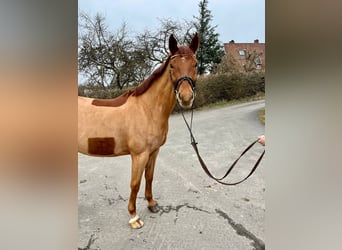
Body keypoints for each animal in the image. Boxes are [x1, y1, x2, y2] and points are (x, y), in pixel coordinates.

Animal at [78, 33, 198, 229]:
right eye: (172, 66)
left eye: (195, 64)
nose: (186, 98)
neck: (147, 108)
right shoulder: (139, 155)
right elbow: (135, 183)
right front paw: (134, 217)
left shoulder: (153, 152)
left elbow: (149, 177)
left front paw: (151, 204)